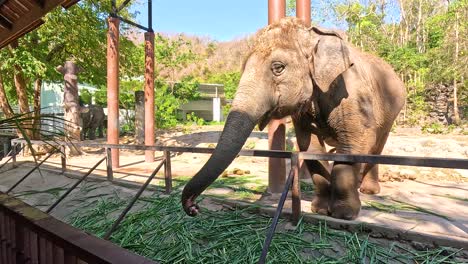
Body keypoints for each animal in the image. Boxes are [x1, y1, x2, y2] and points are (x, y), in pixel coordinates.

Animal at [181, 18, 408, 221]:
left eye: (278, 67)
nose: (194, 207)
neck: (313, 35)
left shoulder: (351, 95)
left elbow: (353, 145)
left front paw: (344, 215)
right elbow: (310, 148)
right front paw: (320, 210)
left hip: (391, 111)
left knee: (376, 146)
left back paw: (368, 191)